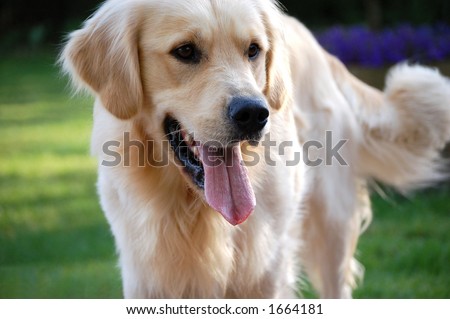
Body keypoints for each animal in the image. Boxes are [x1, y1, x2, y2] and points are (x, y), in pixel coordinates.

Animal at [60, 0, 450, 300]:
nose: (253, 114)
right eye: (185, 51)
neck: (197, 212)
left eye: (253, 50)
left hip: (332, 228)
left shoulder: (266, 273)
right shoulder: (146, 276)